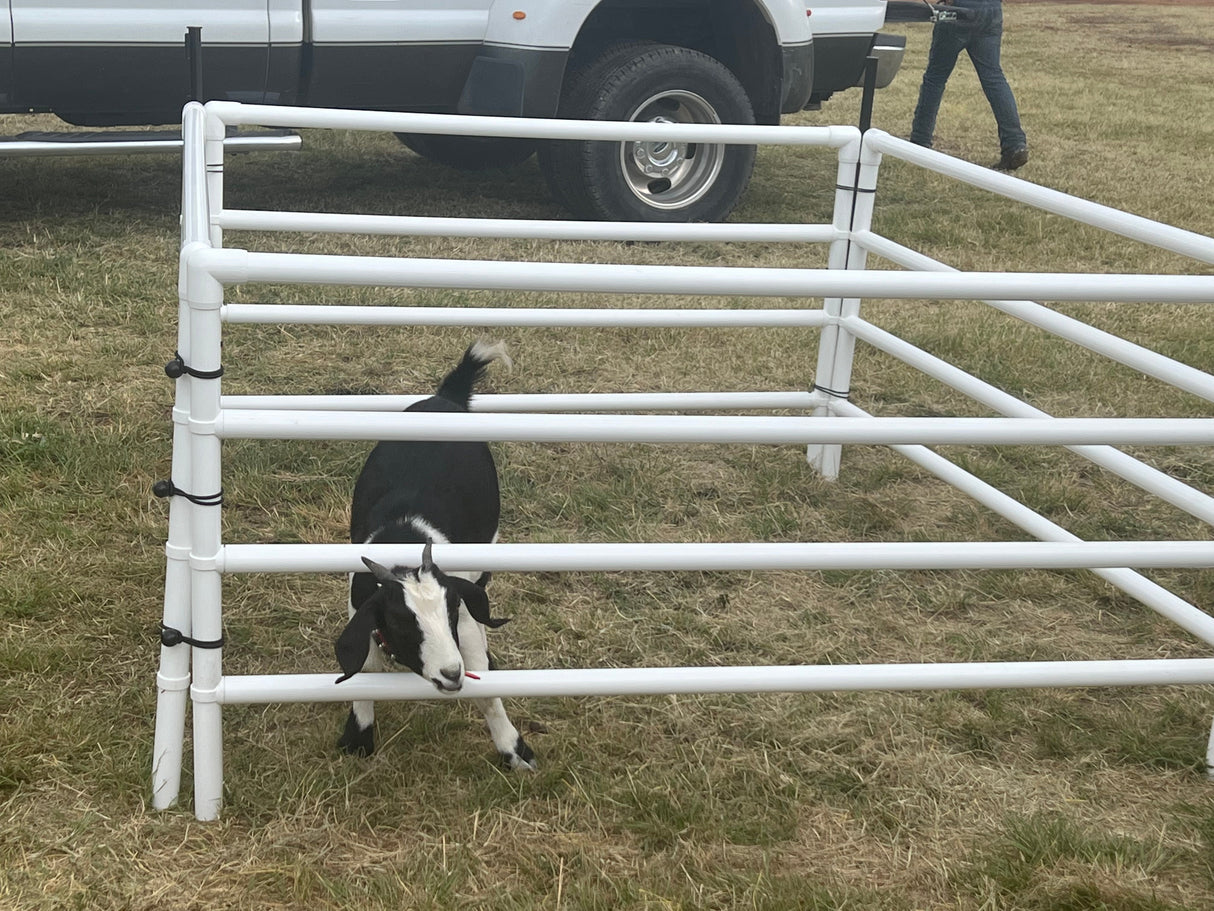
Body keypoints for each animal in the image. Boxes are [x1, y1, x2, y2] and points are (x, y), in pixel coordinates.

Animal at [334, 341, 535, 771]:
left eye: (449, 612)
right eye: (402, 622)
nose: (450, 674)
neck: (403, 541)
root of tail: (446, 396)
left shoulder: (466, 620)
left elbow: (485, 685)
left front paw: (514, 749)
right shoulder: (360, 609)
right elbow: (364, 674)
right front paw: (358, 738)